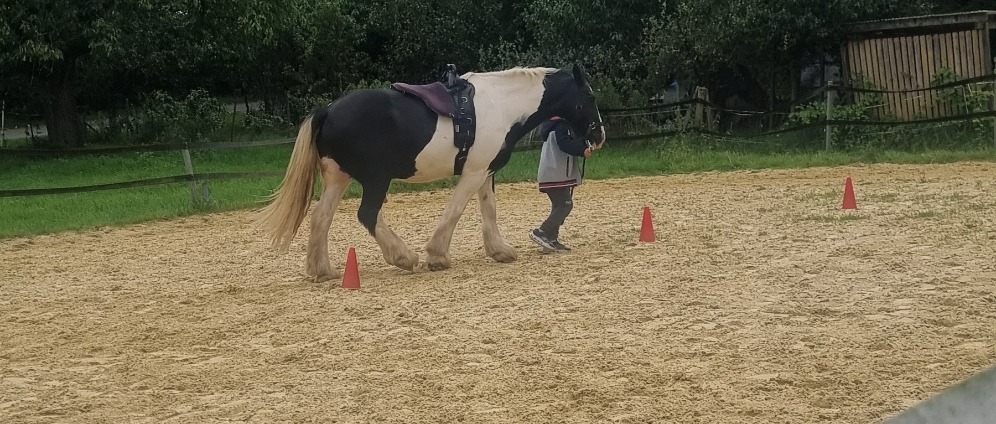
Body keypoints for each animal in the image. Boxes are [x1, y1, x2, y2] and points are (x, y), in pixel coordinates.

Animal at [255, 64, 606, 282]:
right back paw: (403, 256)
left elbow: (489, 210)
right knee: (367, 214)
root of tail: (327, 111)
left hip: (338, 178)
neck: (501, 105)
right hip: (376, 179)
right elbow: (456, 211)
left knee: (321, 218)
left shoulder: (485, 171)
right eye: (589, 96)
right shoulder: (473, 172)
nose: (599, 135)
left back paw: (322, 270)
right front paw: (437, 256)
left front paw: (500, 251)